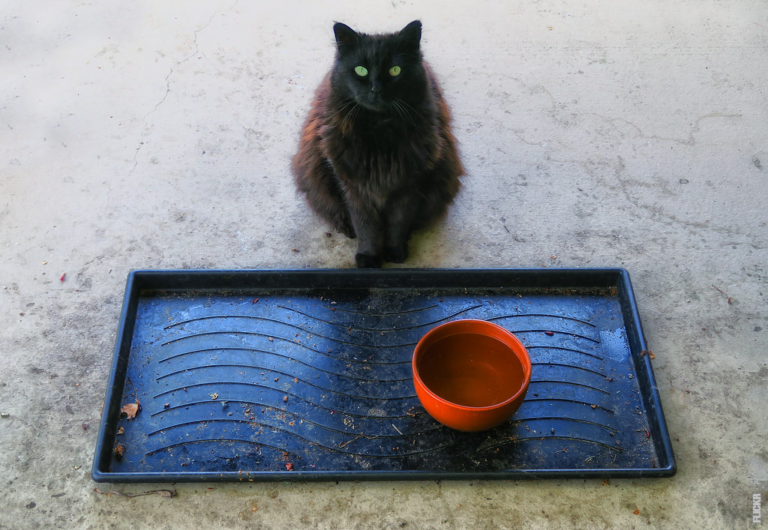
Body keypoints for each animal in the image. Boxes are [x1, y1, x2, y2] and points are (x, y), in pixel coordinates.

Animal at [292, 20, 462, 266]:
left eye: (395, 70)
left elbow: (399, 222)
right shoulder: (353, 185)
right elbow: (366, 226)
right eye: (360, 70)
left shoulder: (408, 183)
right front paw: (369, 257)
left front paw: (395, 252)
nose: (376, 89)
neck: (380, 131)